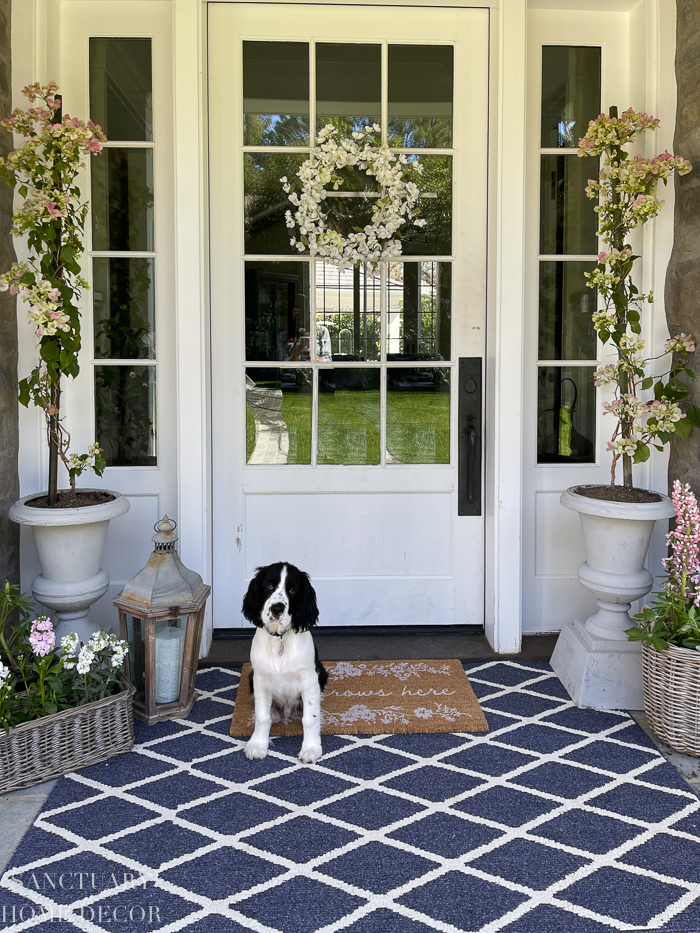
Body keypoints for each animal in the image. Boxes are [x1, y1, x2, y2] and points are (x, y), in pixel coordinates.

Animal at [241, 564, 328, 760]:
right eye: (269, 586)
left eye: (293, 590)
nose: (277, 609)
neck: (279, 638)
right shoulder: (259, 678)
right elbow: (261, 716)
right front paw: (257, 745)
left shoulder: (310, 679)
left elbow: (310, 718)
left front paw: (311, 748)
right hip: (250, 676)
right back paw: (274, 713)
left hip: (321, 673)